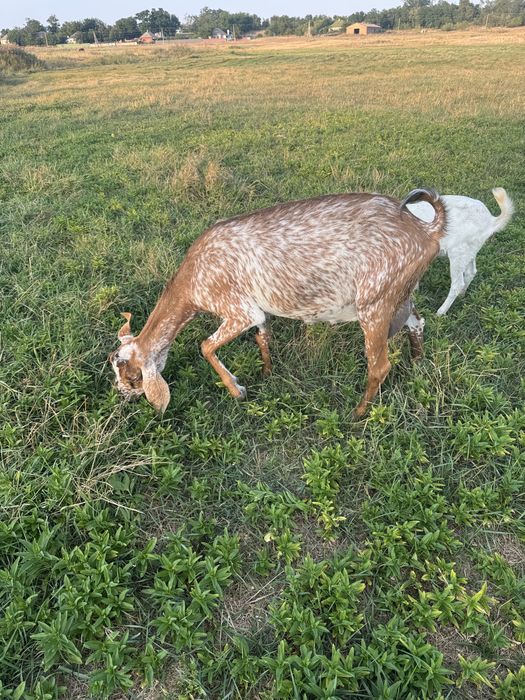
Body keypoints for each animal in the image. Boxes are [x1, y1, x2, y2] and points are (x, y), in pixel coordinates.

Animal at [109, 188, 446, 417]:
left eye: (131, 374)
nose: (124, 396)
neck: (191, 280)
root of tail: (427, 230)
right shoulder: (258, 312)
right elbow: (263, 336)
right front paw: (267, 374)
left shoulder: (237, 310)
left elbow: (206, 347)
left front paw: (237, 390)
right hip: (400, 296)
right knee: (417, 322)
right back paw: (417, 363)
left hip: (374, 303)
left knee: (380, 365)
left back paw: (358, 413)